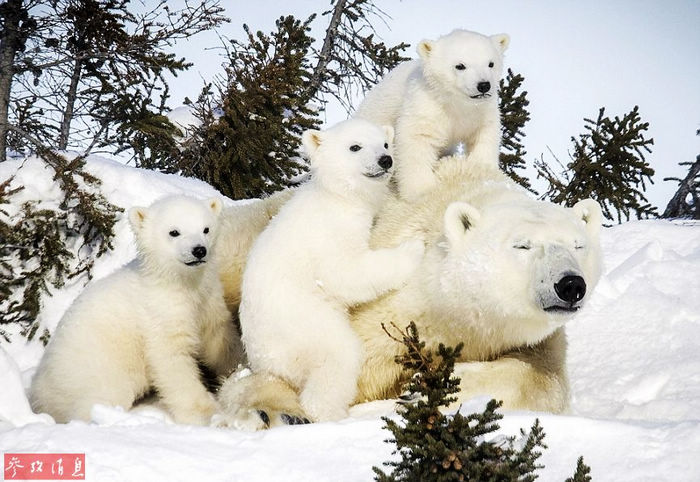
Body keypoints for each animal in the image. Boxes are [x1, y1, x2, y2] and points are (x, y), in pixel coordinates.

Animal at [29, 194, 243, 424]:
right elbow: (171, 360)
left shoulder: (208, 300)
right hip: (94, 370)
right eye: (174, 232)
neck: (176, 283)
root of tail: (37, 391)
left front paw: (239, 367)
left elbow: (218, 336)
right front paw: (207, 413)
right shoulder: (159, 314)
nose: (199, 250)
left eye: (206, 229)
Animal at [215, 153, 600, 426]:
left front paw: (425, 389)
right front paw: (275, 409)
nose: (570, 285)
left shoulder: (530, 339)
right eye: (522, 245)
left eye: (578, 245)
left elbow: (546, 379)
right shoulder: (391, 311)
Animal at [241, 119, 424, 422]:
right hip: (307, 325)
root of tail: (265, 364)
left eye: (385, 143)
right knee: (339, 357)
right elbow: (345, 274)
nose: (385, 160)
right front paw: (413, 248)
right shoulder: (328, 235)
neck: (337, 198)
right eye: (355, 146)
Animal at [356, 28, 508, 200]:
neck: (455, 104)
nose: (483, 85)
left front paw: (483, 169)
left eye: (491, 63)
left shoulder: (481, 111)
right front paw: (421, 190)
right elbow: (416, 139)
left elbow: (485, 134)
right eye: (460, 66)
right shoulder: (426, 106)